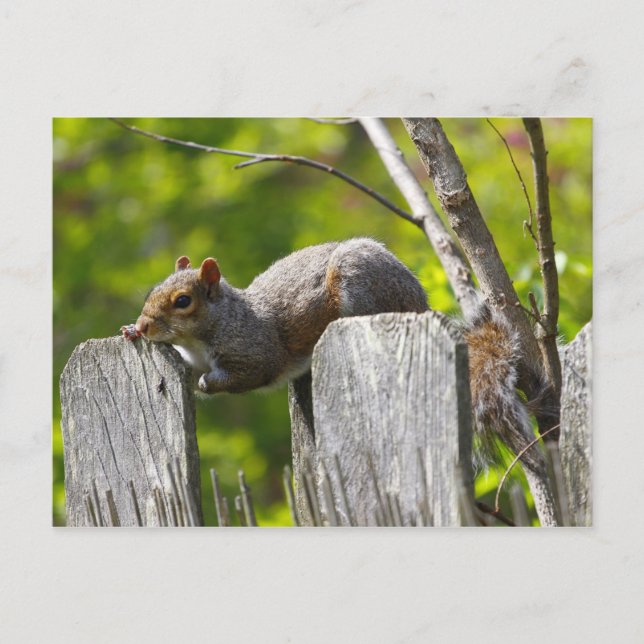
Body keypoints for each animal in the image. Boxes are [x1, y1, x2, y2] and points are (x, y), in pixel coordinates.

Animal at [121, 237, 551, 475]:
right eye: (154, 290)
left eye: (183, 301)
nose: (144, 325)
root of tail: (421, 306)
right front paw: (129, 331)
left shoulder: (256, 351)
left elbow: (247, 374)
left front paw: (208, 383)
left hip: (359, 285)